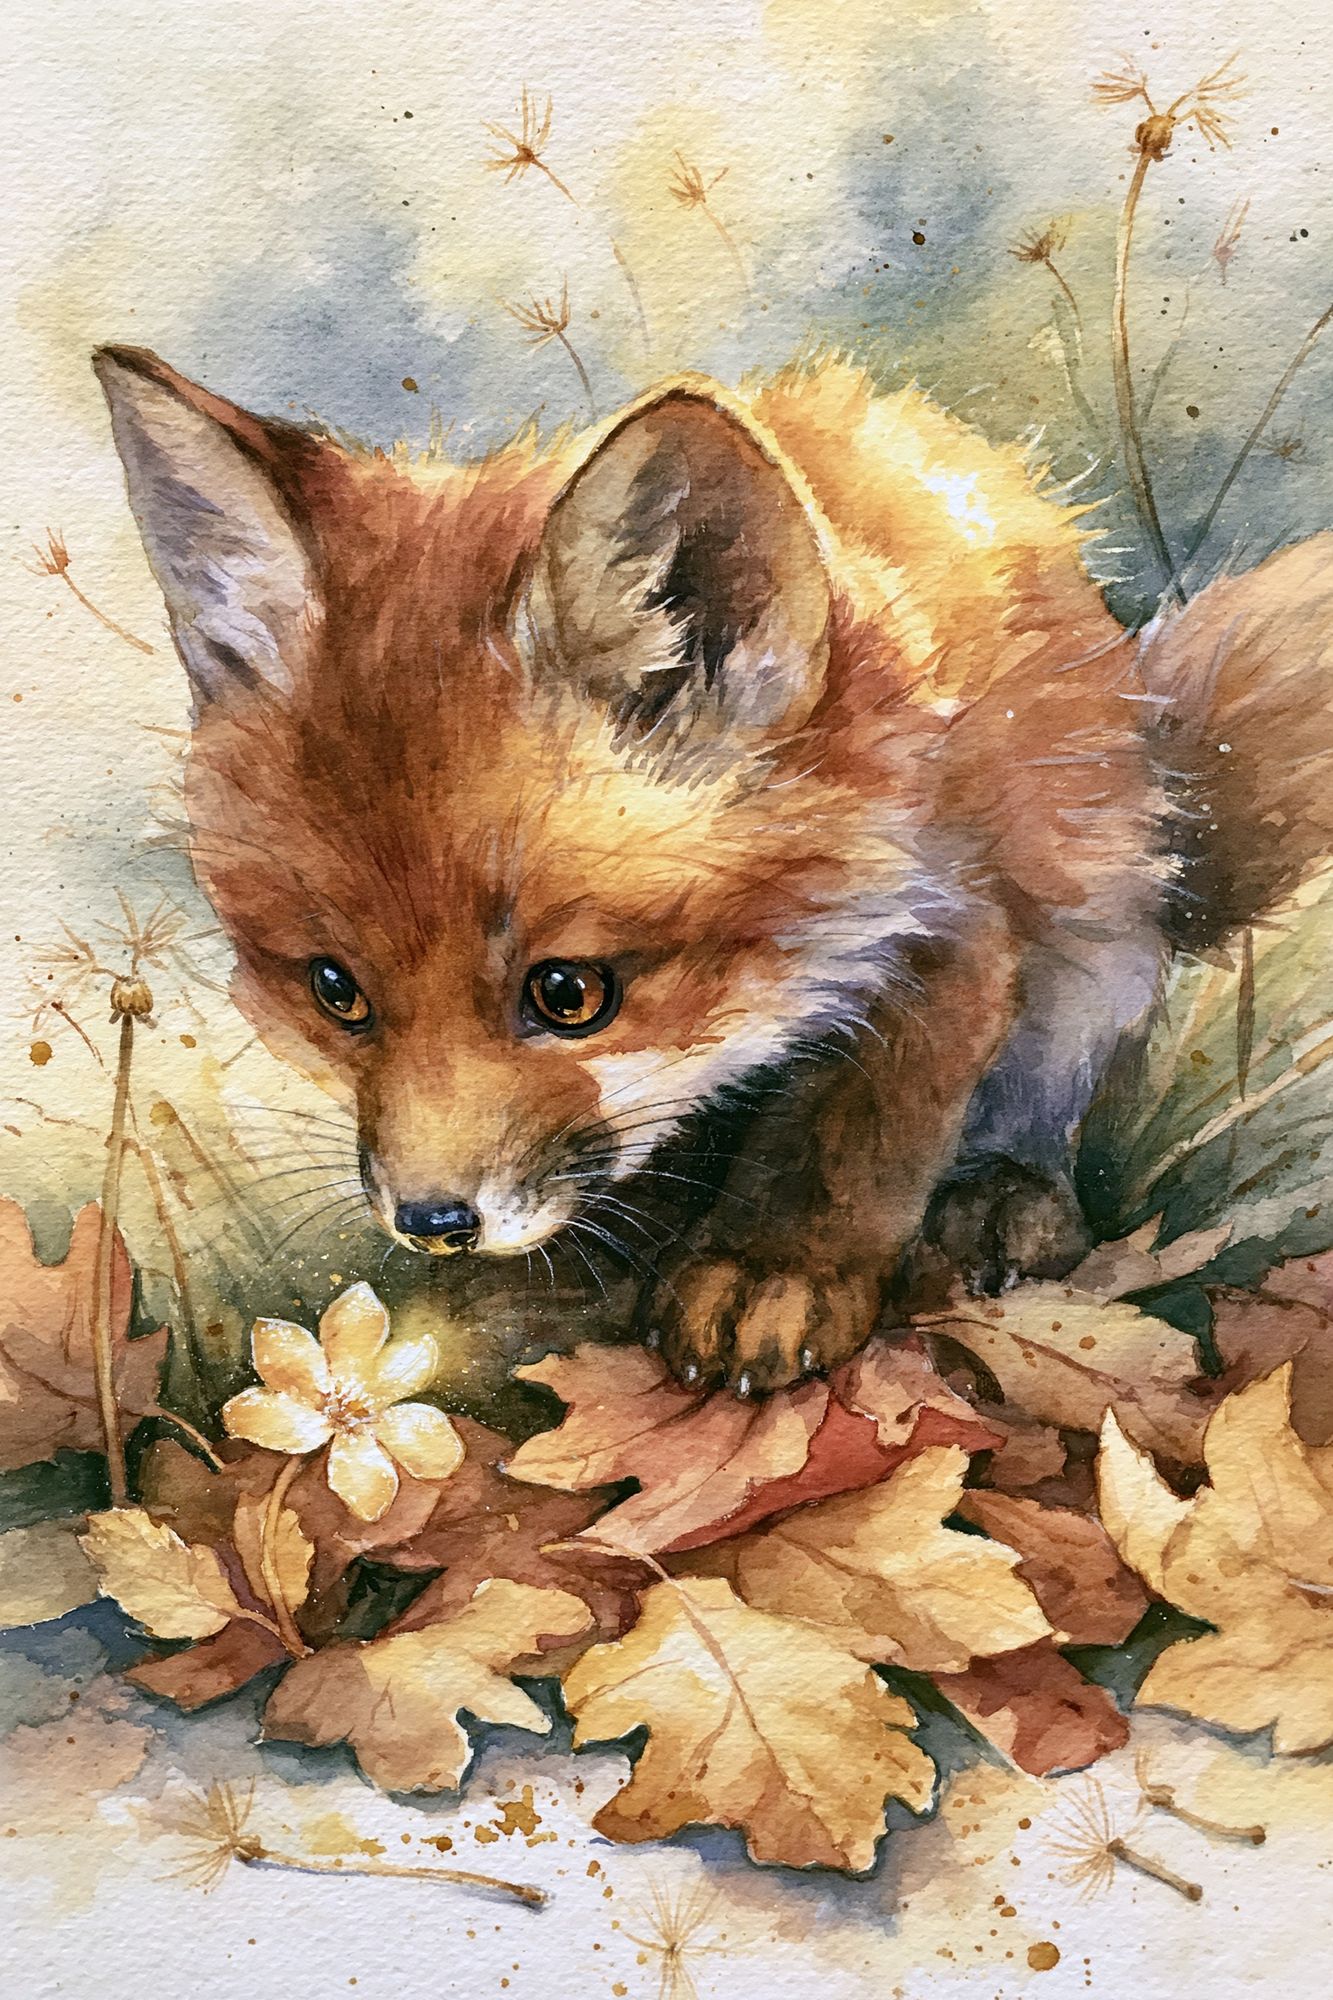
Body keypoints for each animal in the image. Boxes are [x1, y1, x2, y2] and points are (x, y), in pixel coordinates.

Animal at [95, 345, 1333, 1394]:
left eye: (569, 992)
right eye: (334, 990)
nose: (434, 1222)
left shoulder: (953, 921)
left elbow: (854, 1124)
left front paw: (774, 1268)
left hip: (1098, 925)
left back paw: (1001, 1198)